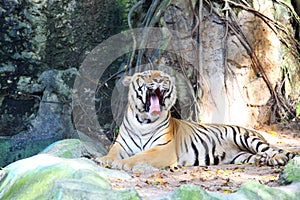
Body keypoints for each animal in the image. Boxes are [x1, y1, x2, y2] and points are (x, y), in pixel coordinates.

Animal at [95, 70, 296, 170]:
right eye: (146, 75)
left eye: (164, 77)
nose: (160, 80)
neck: (144, 120)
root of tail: (257, 133)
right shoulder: (121, 145)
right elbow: (112, 153)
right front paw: (102, 159)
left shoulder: (163, 150)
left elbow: (140, 156)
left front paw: (121, 163)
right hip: (240, 155)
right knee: (254, 156)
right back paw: (261, 160)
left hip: (247, 138)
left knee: (273, 150)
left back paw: (276, 159)